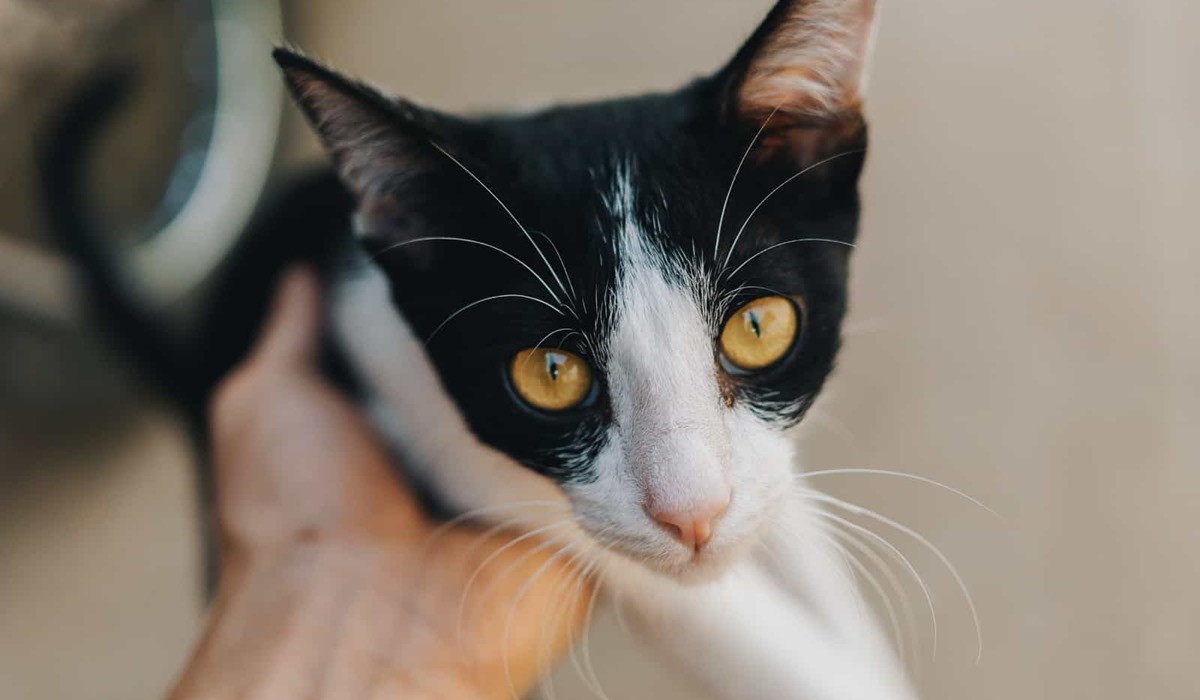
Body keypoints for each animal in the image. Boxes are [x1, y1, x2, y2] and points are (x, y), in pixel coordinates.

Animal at [44, 1, 907, 700]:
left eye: (758, 328)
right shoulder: (400, 386)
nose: (693, 515)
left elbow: (781, 507)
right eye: (551, 373)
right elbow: (714, 621)